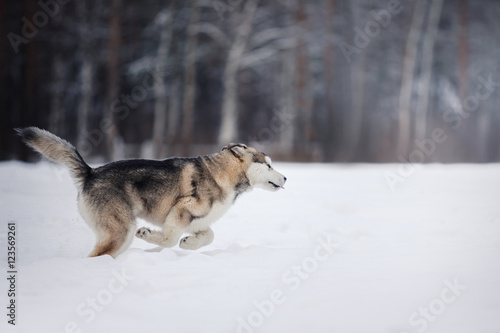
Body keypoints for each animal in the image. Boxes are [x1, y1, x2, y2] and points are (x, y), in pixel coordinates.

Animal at [15, 127, 288, 256]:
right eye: (268, 165)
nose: (286, 177)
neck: (221, 175)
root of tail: (91, 172)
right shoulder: (180, 210)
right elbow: (168, 239)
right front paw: (149, 236)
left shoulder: (198, 221)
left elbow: (209, 236)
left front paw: (189, 244)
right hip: (121, 230)